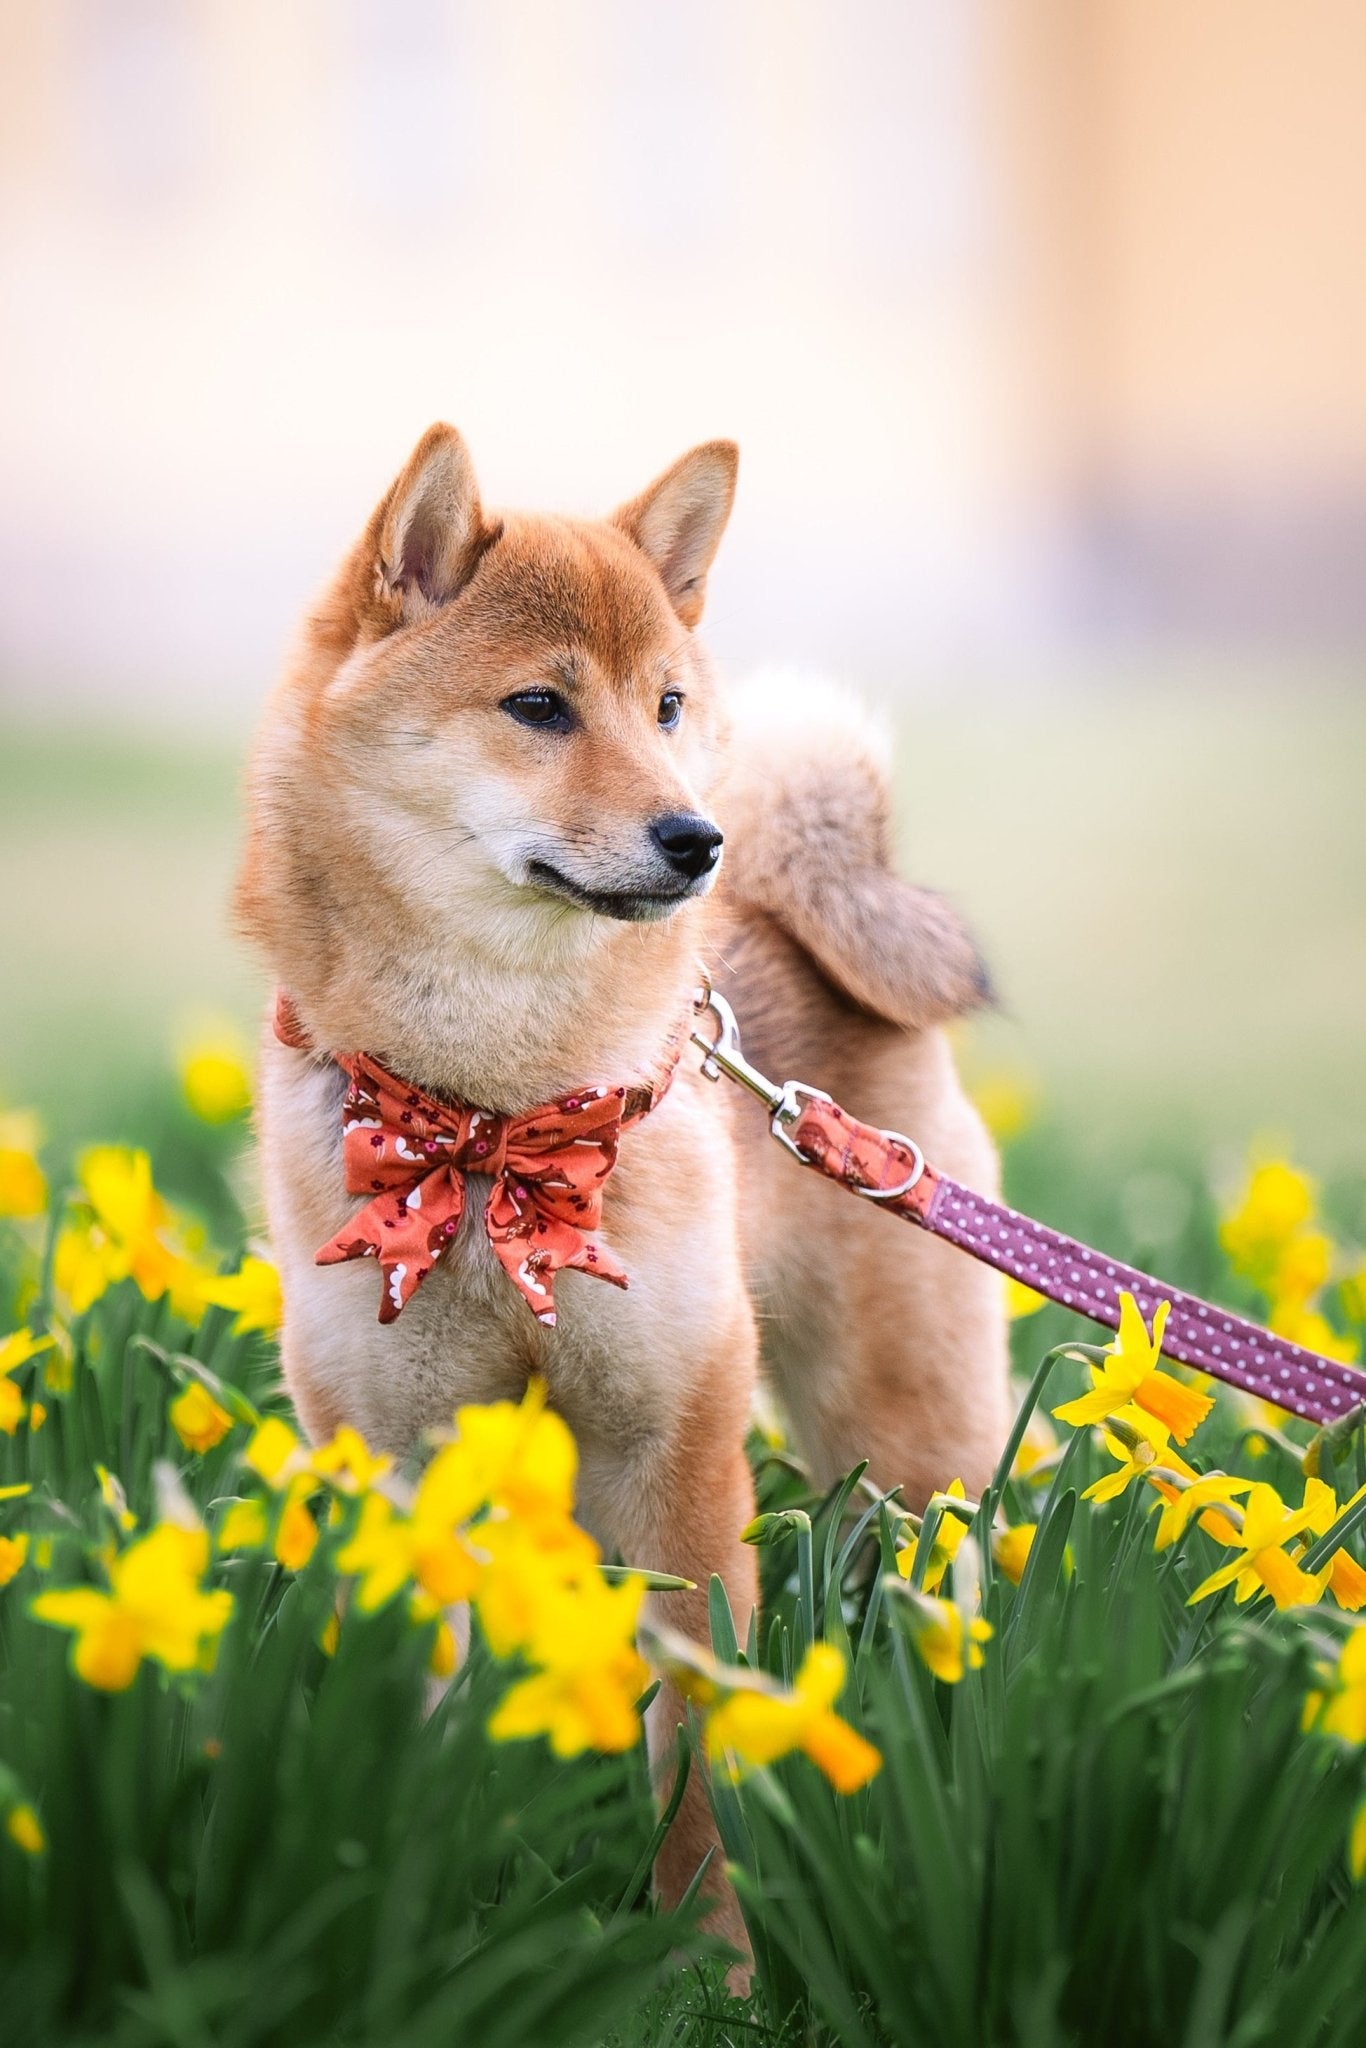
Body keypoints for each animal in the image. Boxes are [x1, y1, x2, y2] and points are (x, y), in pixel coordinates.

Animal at [235, 423, 1009, 1951]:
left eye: (663, 705)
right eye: (538, 705)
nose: (692, 836)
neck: (492, 1119)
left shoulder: (674, 1452)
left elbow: (697, 1751)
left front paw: (709, 1957)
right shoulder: (395, 1462)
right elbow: (416, 1724)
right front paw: (411, 1910)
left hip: (904, 1438)